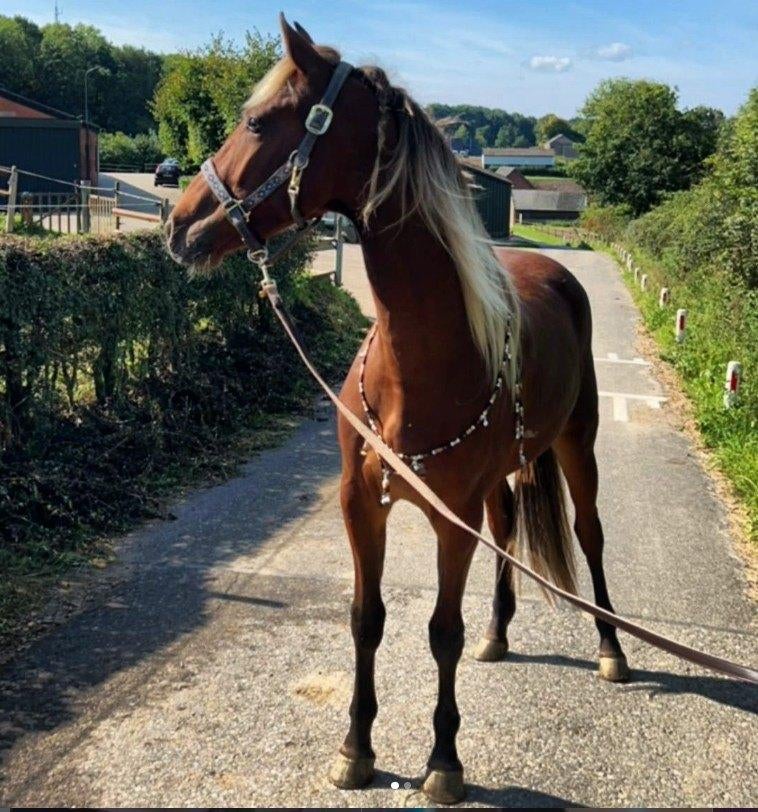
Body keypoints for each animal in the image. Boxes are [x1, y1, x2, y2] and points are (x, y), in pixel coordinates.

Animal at [166, 15, 629, 805]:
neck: (419, 359)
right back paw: (499, 634)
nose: (178, 225)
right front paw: (355, 748)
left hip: (578, 443)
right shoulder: (362, 504)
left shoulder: (451, 518)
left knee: (590, 535)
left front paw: (443, 761)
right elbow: (366, 620)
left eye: (257, 122)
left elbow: (441, 631)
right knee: (509, 531)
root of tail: (558, 270)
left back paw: (611, 649)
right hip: (499, 482)